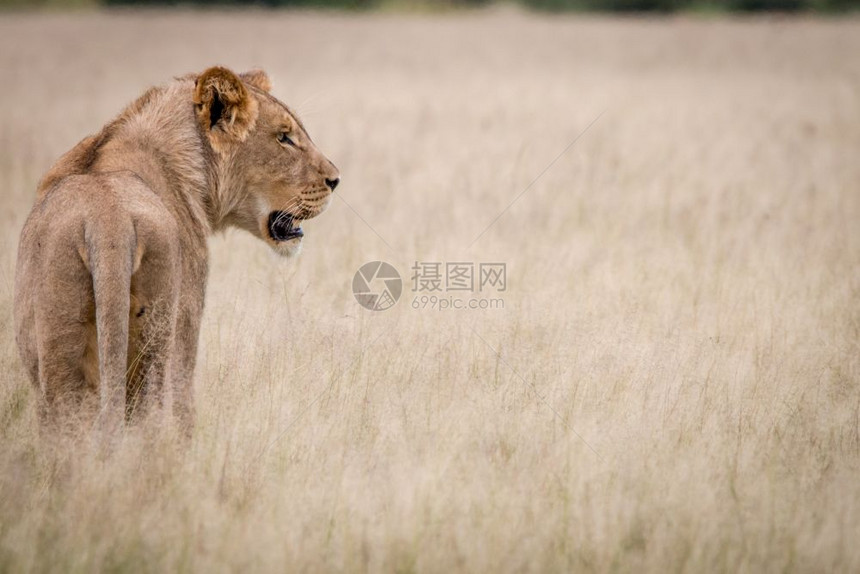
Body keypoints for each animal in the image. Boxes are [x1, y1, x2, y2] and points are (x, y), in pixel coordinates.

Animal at [11, 66, 340, 436]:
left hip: (58, 348)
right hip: (157, 339)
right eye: (284, 137)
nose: (335, 180)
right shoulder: (189, 312)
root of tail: (106, 219)